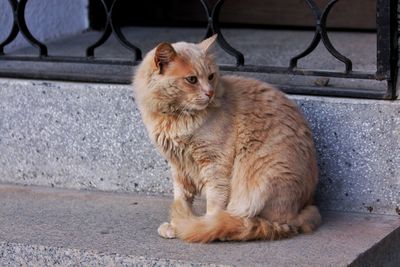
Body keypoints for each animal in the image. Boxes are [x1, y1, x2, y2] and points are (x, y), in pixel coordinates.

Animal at [133, 35, 320, 243]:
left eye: (210, 76)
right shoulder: (178, 166)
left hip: (264, 175)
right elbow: (181, 197)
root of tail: (302, 211)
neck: (176, 118)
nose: (209, 93)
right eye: (192, 79)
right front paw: (176, 225)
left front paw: (201, 225)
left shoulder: (215, 163)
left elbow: (215, 203)